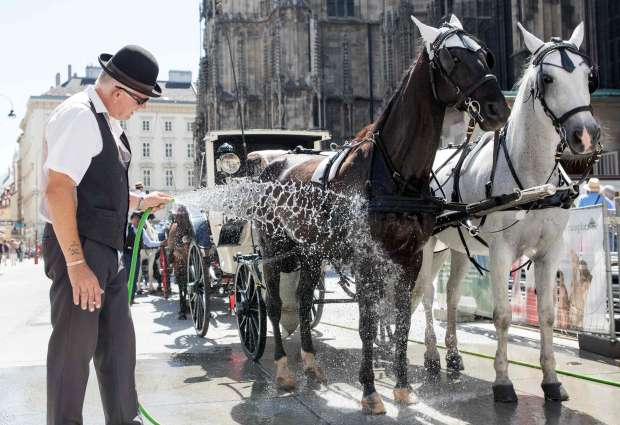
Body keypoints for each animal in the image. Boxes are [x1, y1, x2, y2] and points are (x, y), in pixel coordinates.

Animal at [256, 14, 508, 412]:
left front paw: (402, 387)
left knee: (304, 298)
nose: (498, 108)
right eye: (453, 59)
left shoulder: (410, 258)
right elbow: (367, 323)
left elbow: (401, 320)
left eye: (486, 54)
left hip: (310, 254)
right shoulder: (366, 260)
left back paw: (311, 365)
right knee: (275, 305)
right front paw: (370, 391)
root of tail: (275, 162)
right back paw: (283, 371)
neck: (396, 173)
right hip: (273, 252)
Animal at [412, 21, 600, 402]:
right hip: (426, 246)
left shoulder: (549, 251)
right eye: (548, 79)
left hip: (453, 248)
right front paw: (502, 381)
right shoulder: (500, 252)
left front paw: (552, 380)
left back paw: (452, 354)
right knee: (425, 293)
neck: (531, 180)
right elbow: (501, 316)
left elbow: (547, 315)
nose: (585, 135)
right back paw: (430, 355)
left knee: (450, 294)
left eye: (589, 77)